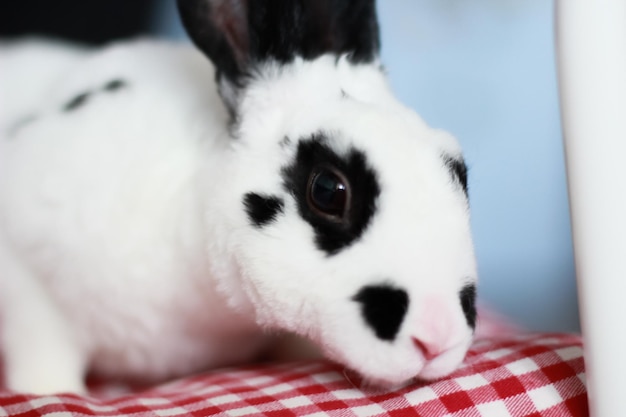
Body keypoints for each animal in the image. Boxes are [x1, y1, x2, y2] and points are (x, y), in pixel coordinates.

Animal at [1, 0, 478, 394]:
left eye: (458, 170)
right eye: (327, 190)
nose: (438, 336)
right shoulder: (28, 281)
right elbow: (44, 360)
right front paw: (48, 392)